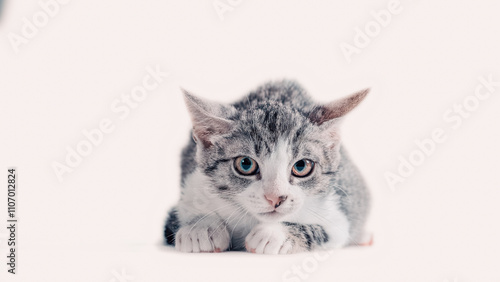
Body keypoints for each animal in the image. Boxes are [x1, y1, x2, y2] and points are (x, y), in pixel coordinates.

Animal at [164, 80, 372, 254]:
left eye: (301, 166)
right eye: (245, 164)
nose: (275, 198)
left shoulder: (337, 212)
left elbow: (326, 231)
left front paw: (274, 234)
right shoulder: (193, 185)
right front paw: (199, 228)